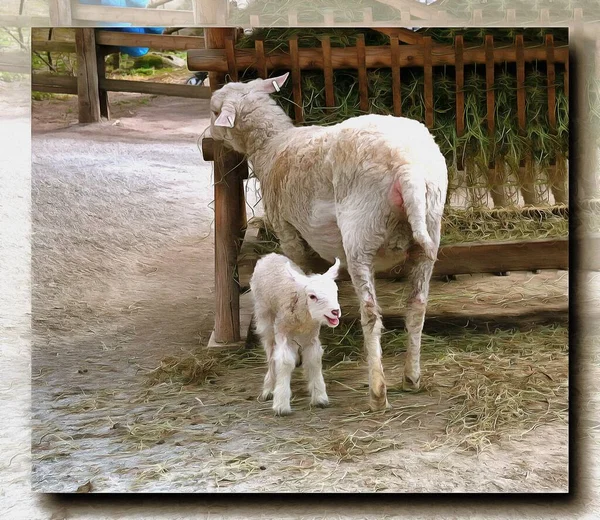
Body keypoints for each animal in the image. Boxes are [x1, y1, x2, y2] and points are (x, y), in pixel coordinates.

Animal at [250, 252, 342, 414]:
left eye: (335, 291)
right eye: (312, 296)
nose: (335, 312)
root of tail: (269, 255)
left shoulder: (311, 337)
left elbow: (313, 360)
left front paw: (320, 397)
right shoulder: (282, 332)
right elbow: (284, 362)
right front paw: (281, 404)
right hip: (265, 318)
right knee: (270, 351)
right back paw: (269, 387)